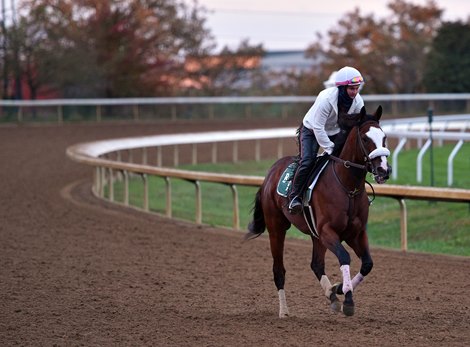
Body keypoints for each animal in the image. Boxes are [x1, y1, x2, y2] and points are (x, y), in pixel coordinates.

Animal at [244, 105, 392, 318]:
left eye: (384, 137)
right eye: (365, 138)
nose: (383, 170)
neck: (348, 187)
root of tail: (270, 173)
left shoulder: (355, 233)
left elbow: (367, 264)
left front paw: (339, 289)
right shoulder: (327, 231)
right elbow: (344, 257)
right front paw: (347, 298)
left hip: (315, 235)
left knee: (316, 264)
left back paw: (331, 294)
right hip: (276, 227)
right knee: (279, 270)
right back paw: (284, 311)